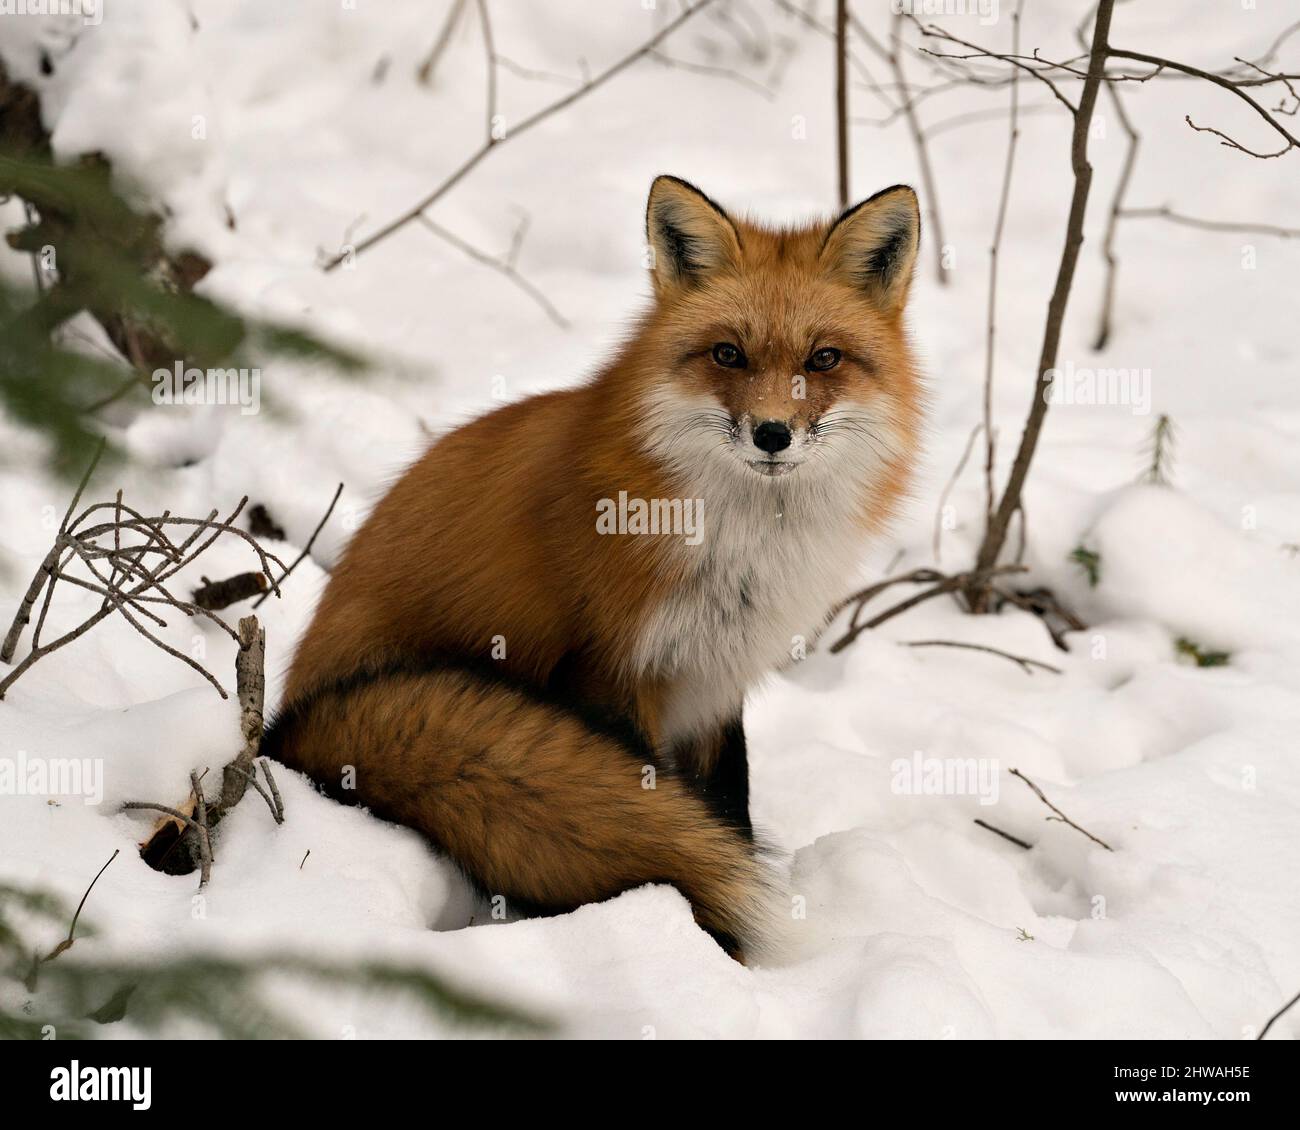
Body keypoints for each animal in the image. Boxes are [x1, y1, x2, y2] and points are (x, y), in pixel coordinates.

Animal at [262, 175, 925, 961]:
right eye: (727, 354)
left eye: (823, 360)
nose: (772, 434)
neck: (742, 547)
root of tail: (282, 734)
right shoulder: (613, 668)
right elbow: (674, 812)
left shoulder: (715, 678)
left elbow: (727, 805)